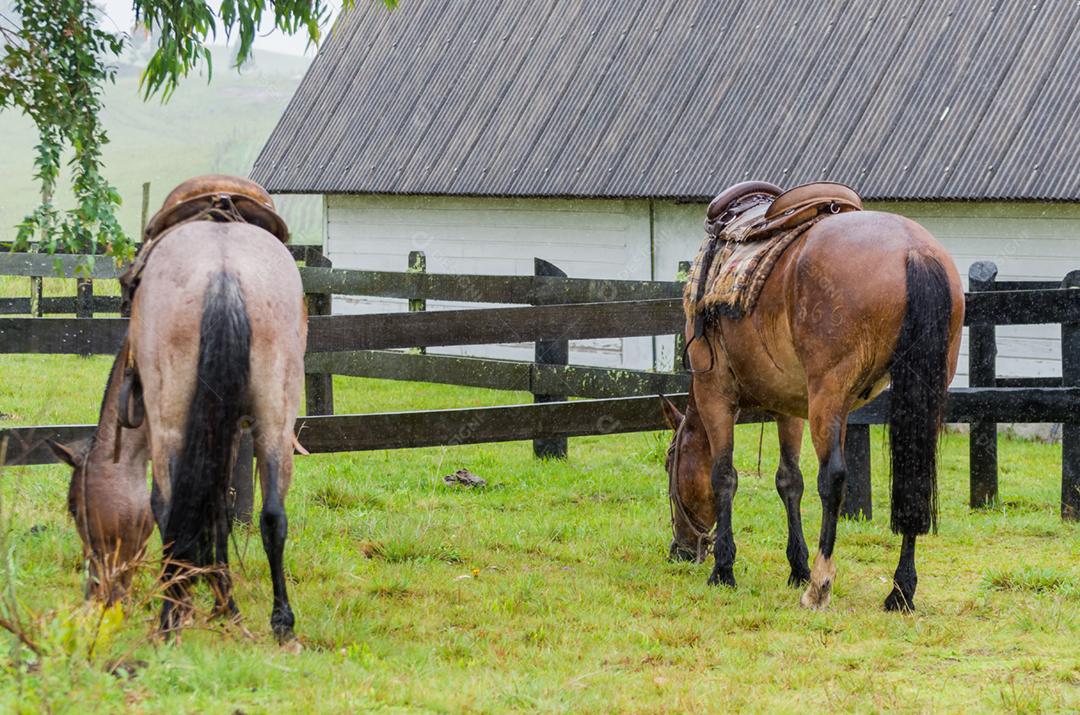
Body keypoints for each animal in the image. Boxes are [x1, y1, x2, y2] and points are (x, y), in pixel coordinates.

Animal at [50, 175, 307, 640]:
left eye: (75, 507)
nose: (96, 593)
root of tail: (223, 270)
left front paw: (207, 602)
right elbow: (220, 511)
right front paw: (224, 605)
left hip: (170, 422)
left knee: (170, 511)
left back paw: (170, 619)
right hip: (275, 422)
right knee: (273, 516)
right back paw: (282, 626)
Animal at [663, 181, 964, 611]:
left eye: (669, 462)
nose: (680, 550)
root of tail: (913, 250)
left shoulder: (715, 393)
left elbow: (725, 476)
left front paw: (724, 569)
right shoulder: (789, 405)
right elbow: (789, 480)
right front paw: (797, 567)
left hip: (829, 395)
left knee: (833, 478)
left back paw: (820, 585)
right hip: (915, 394)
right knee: (913, 477)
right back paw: (900, 590)